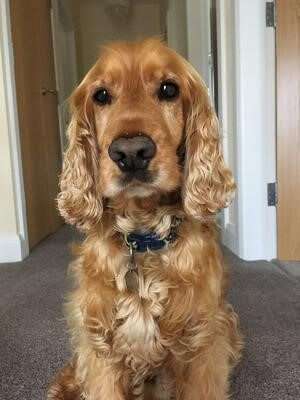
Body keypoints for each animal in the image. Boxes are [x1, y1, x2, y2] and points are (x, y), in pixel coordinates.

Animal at [48, 38, 243, 400]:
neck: (143, 236)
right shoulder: (101, 342)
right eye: (101, 95)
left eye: (169, 89)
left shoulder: (203, 343)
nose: (131, 153)